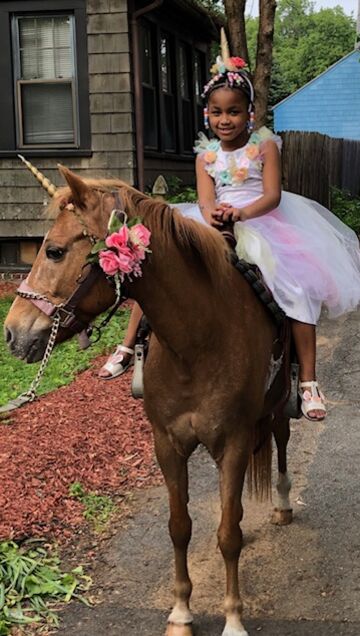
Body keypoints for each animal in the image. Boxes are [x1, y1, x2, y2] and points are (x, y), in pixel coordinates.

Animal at [4, 166, 294, 636]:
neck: (197, 342)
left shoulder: (232, 443)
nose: (12, 332)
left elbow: (227, 536)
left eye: (54, 251)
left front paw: (233, 617)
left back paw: (284, 503)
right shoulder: (167, 445)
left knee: (281, 441)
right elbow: (180, 528)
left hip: (279, 401)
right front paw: (181, 612)